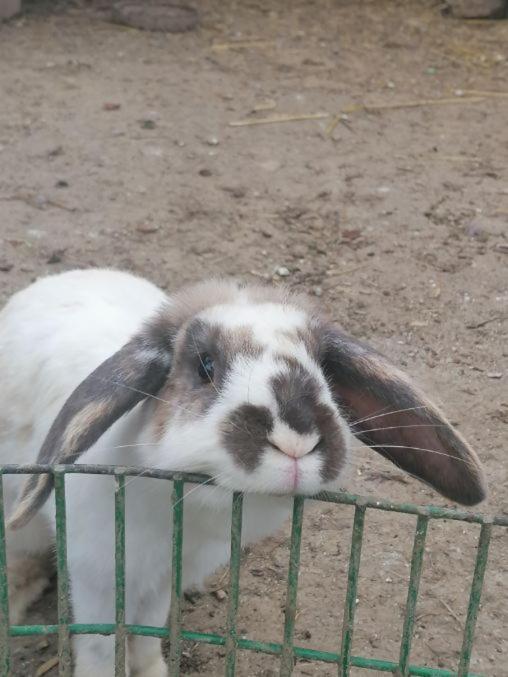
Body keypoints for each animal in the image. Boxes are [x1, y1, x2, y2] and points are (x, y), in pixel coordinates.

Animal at [0, 266, 486, 672]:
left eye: (323, 367)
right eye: (205, 366)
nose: (297, 440)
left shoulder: (161, 581)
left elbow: (146, 633)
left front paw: (152, 670)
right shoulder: (97, 578)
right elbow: (100, 644)